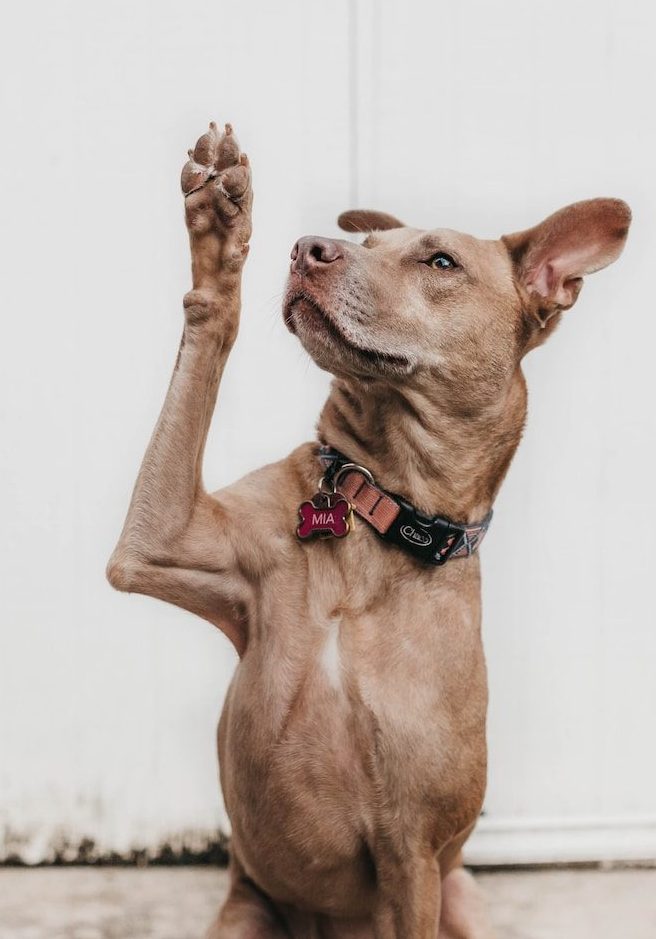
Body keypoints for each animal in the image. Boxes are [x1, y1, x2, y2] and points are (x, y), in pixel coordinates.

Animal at [107, 121, 632, 936]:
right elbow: (207, 330)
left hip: (461, 895)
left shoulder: (412, 857)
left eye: (440, 261)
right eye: (370, 243)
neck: (375, 510)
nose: (307, 248)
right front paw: (220, 231)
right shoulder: (156, 541)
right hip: (245, 910)